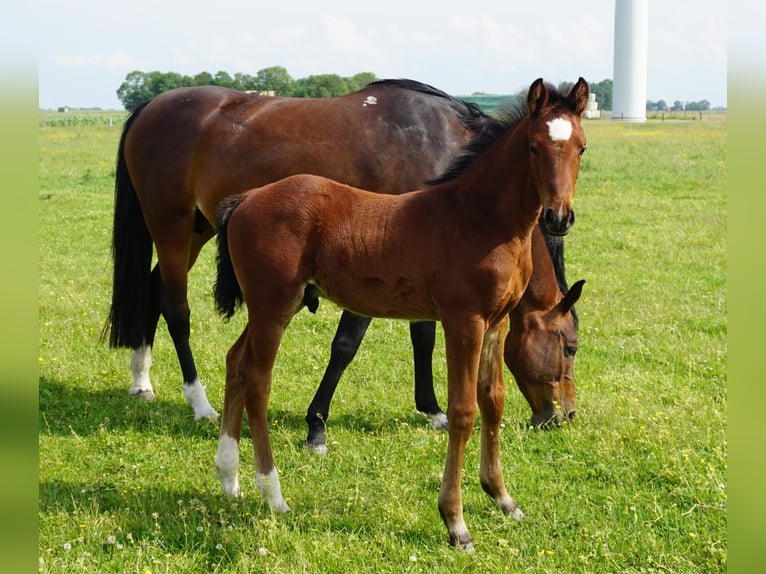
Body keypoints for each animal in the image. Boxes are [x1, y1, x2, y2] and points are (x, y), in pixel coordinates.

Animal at [305, 221, 584, 453]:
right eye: (571, 348)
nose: (569, 415)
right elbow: (346, 346)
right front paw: (316, 426)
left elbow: (424, 339)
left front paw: (432, 409)